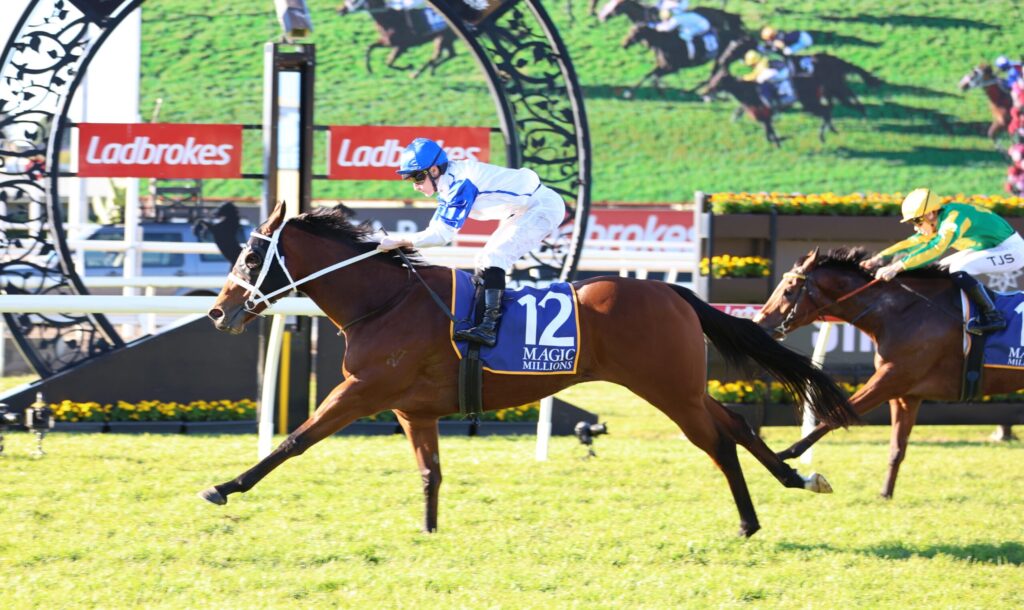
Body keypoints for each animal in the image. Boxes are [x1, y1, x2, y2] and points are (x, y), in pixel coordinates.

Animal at [198, 200, 858, 538]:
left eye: (251, 255)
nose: (217, 311)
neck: (385, 301)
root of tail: (674, 291)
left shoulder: (362, 390)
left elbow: (295, 440)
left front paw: (224, 486)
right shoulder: (412, 409)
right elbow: (430, 473)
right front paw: (430, 533)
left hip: (667, 388)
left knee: (718, 441)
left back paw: (748, 522)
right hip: (681, 386)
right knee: (738, 425)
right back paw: (799, 479)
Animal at [702, 65, 837, 146]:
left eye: (718, 81)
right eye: (714, 79)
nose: (705, 91)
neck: (748, 91)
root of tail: (816, 78)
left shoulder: (764, 113)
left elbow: (770, 133)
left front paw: (782, 139)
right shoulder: (763, 117)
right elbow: (769, 133)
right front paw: (780, 140)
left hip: (809, 103)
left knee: (826, 111)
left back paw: (822, 135)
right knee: (827, 110)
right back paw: (830, 130)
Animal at [754, 247, 1024, 499]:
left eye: (788, 290)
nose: (760, 324)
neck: (901, 313)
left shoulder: (890, 379)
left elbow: (834, 415)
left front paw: (784, 454)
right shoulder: (906, 395)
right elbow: (897, 447)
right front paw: (886, 493)